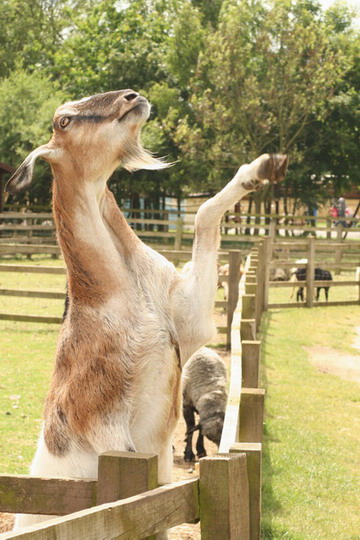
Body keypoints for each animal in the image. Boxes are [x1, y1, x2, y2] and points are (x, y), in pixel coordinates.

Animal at [4, 89, 286, 536]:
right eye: (64, 120)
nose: (132, 97)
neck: (121, 295)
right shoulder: (105, 424)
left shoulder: (188, 324)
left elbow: (204, 213)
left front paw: (262, 167)